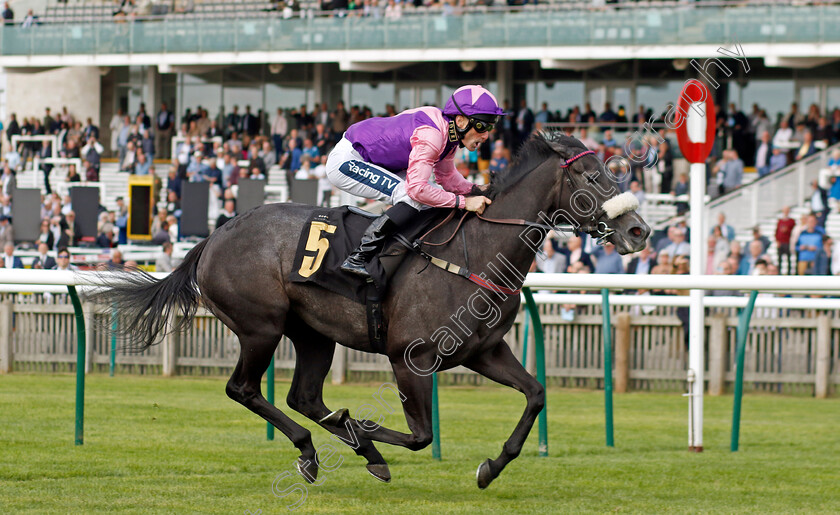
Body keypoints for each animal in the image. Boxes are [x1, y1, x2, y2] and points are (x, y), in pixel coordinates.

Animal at [87, 132, 648, 488]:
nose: (640, 230)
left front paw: (491, 467)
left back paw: (332, 447)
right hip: (260, 326)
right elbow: (421, 436)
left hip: (313, 333)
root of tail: (215, 234)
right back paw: (327, 446)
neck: (476, 252)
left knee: (304, 396)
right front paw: (363, 430)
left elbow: (535, 395)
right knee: (243, 389)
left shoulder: (484, 351)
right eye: (593, 177)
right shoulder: (410, 357)